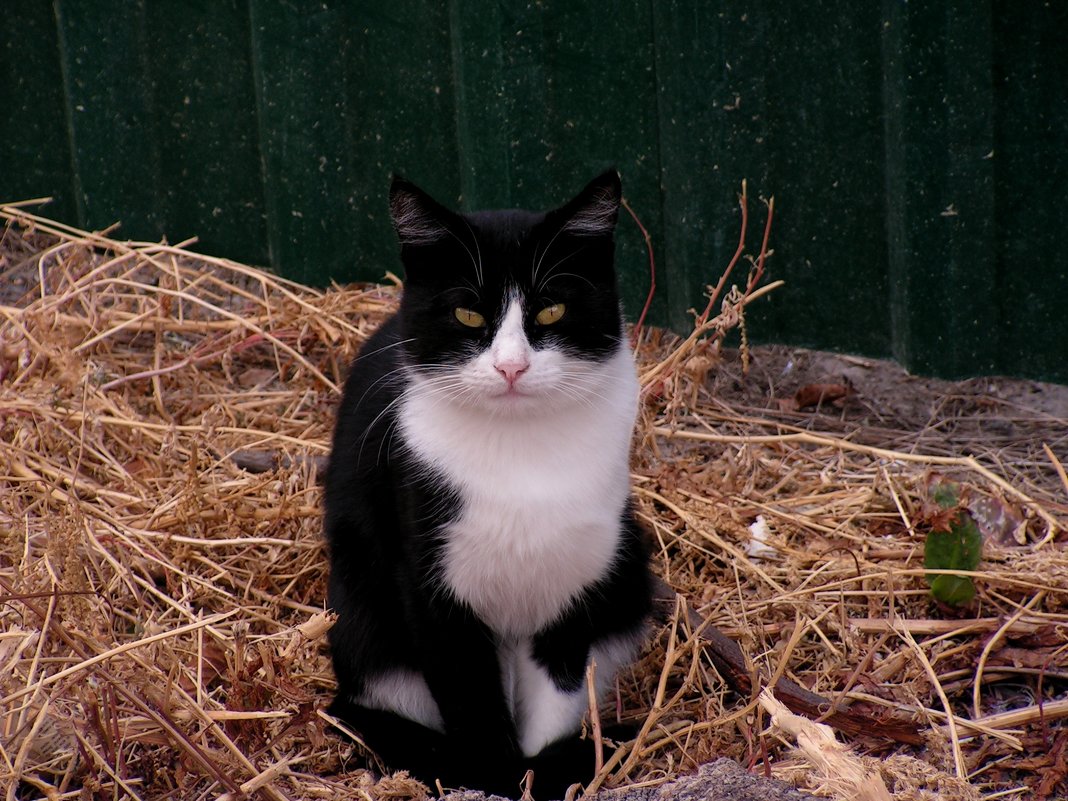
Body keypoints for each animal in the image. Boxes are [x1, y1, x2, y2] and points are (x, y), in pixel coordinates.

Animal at [322, 170, 649, 798]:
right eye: (469, 316)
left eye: (552, 310)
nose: (511, 367)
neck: (520, 455)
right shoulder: (430, 582)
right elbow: (469, 696)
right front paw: (498, 775)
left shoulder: (576, 575)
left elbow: (558, 689)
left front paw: (544, 766)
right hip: (362, 616)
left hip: (629, 564)